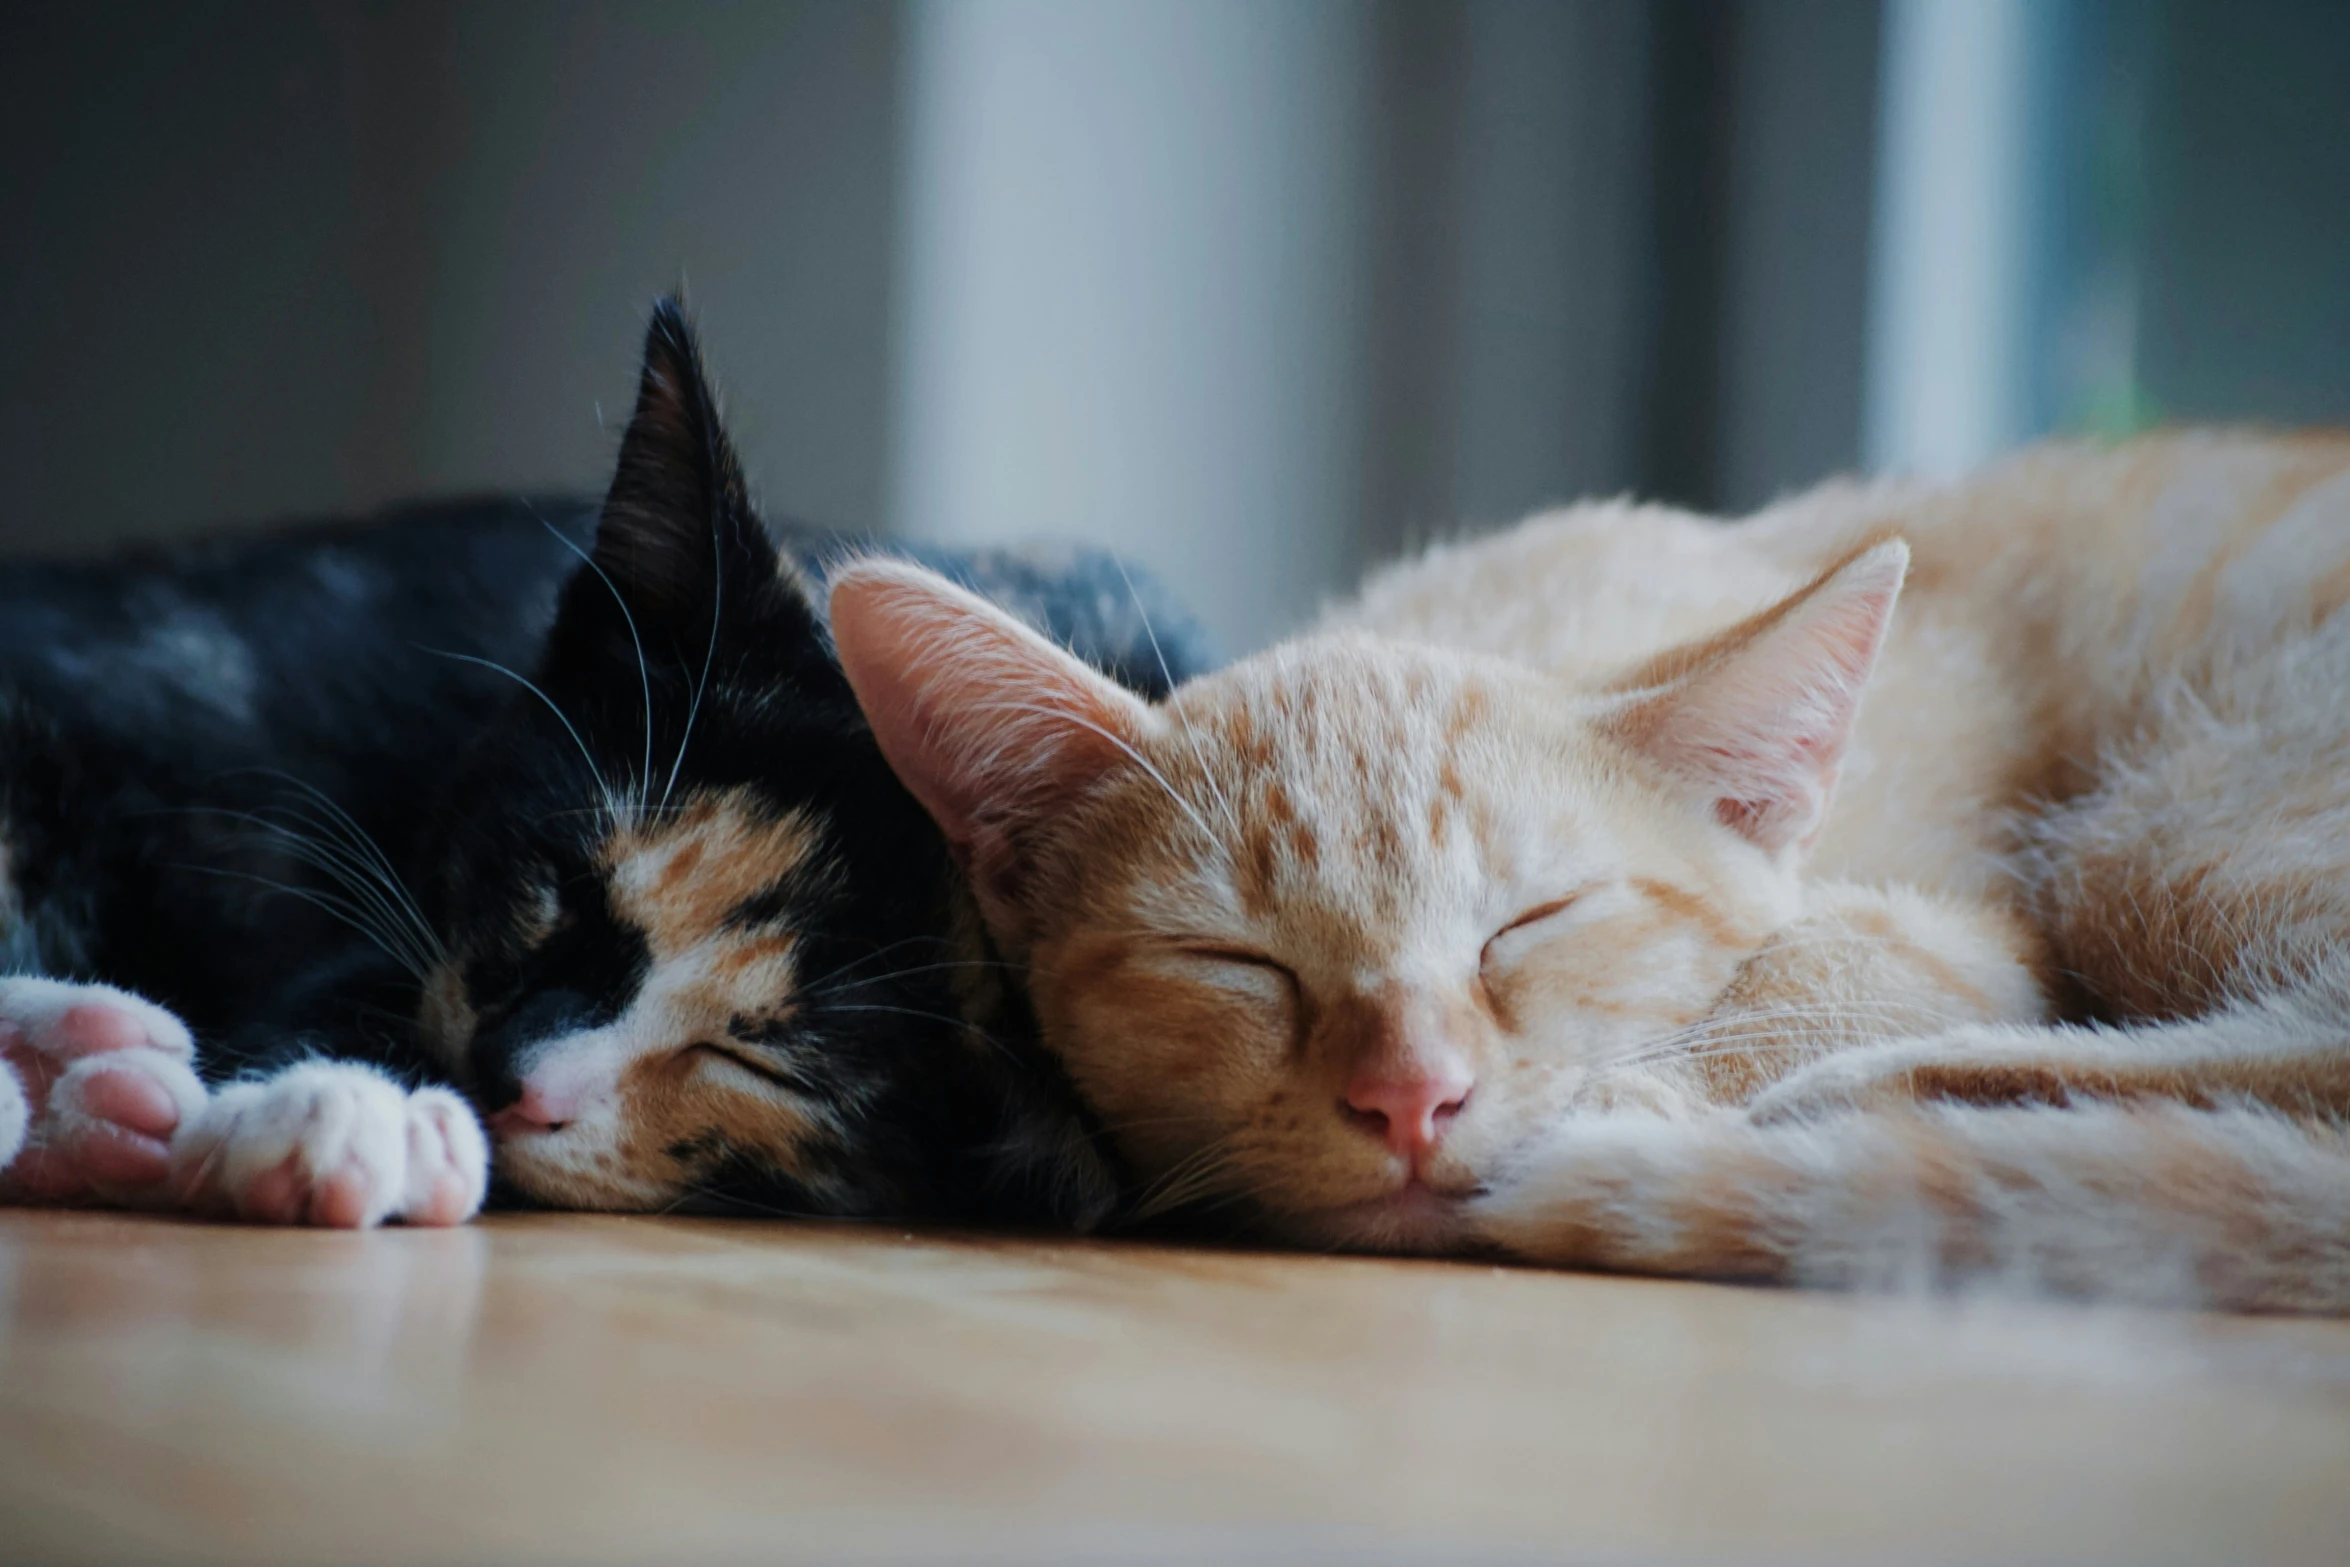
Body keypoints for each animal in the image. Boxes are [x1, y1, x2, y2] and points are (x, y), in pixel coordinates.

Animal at [822, 429, 2350, 1315]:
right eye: (1233, 961)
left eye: (1529, 922)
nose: (1411, 1097)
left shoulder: (1971, 931)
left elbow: (1833, 964)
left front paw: (1659, 1088)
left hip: (2156, 831)